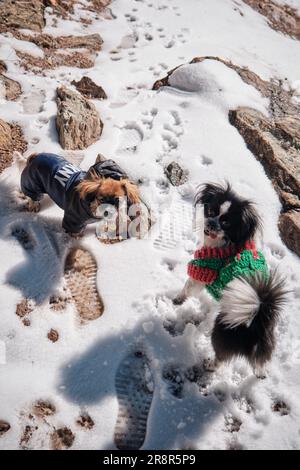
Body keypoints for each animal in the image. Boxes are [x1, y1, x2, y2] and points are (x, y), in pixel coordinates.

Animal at [175, 184, 288, 378]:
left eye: (226, 223)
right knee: (260, 362)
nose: (211, 223)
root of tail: (258, 317)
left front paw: (177, 300)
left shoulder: (202, 270)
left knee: (221, 358)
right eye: (211, 211)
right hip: (264, 343)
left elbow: (187, 288)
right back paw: (260, 373)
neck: (226, 244)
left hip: (223, 330)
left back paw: (209, 364)